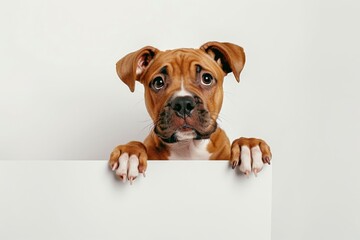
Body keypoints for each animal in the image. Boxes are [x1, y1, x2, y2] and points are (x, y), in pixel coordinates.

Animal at [108, 41, 272, 184]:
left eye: (207, 78)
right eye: (158, 82)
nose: (183, 104)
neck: (188, 147)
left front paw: (249, 146)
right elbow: (136, 144)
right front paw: (129, 153)